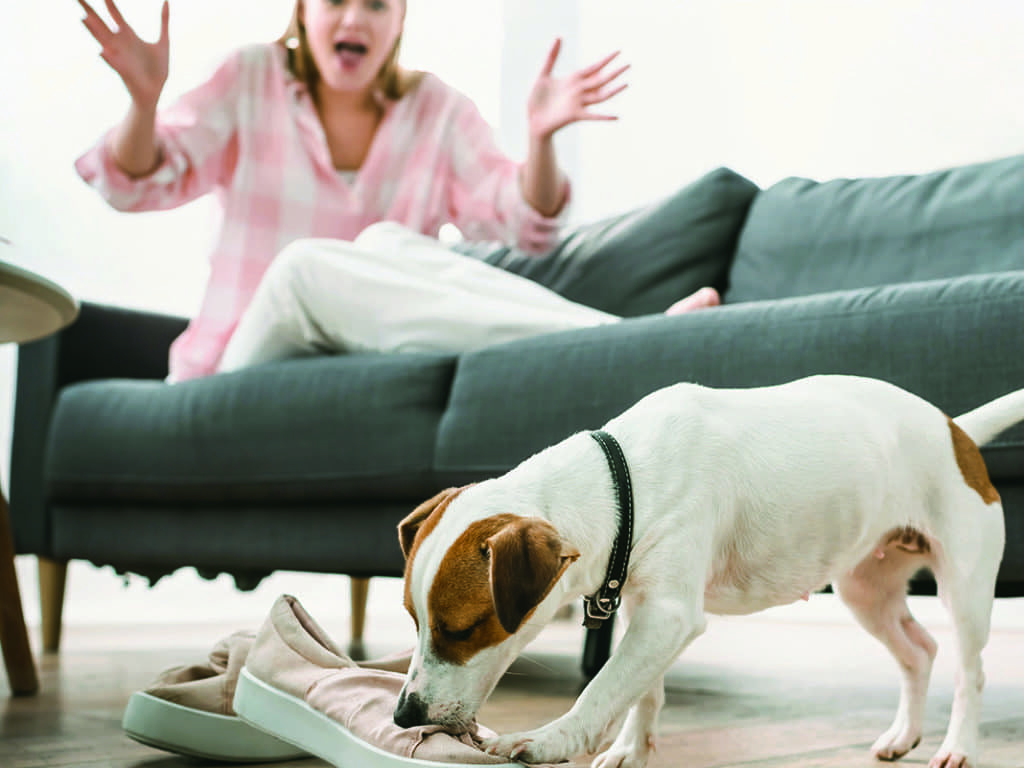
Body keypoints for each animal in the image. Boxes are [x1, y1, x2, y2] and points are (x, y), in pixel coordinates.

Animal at [393, 376, 1024, 768]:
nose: (404, 715)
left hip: (966, 586)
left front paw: (553, 740)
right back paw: (904, 733)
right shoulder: (643, 608)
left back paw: (959, 745)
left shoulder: (669, 615)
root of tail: (956, 430)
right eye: (414, 622)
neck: (623, 481)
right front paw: (633, 748)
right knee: (919, 652)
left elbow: (604, 687)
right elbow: (641, 690)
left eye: (462, 629)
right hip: (866, 589)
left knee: (970, 671)